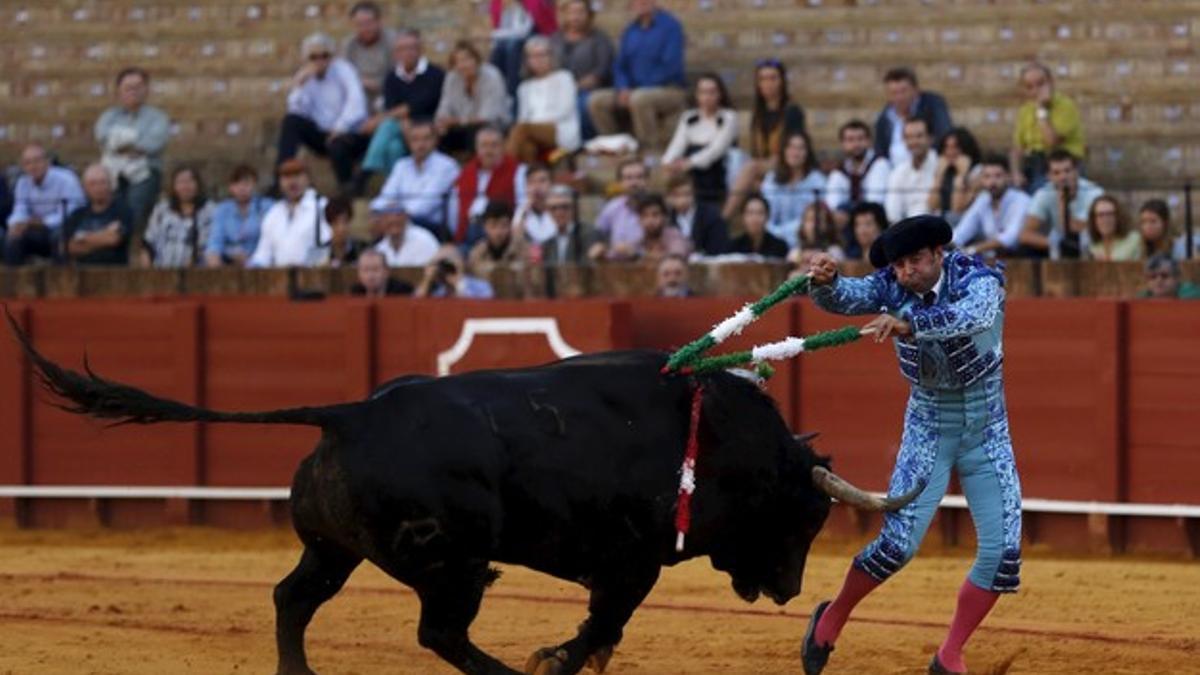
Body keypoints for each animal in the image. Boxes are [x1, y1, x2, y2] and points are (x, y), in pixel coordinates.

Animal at [9, 317, 916, 672]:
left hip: (334, 547)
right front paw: (554, 660)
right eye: (806, 514)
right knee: (439, 629)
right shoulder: (631, 563)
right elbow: (603, 624)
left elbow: (605, 628)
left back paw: (298, 671)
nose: (791, 587)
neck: (713, 433)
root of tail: (350, 410)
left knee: (292, 597)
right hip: (454, 561)